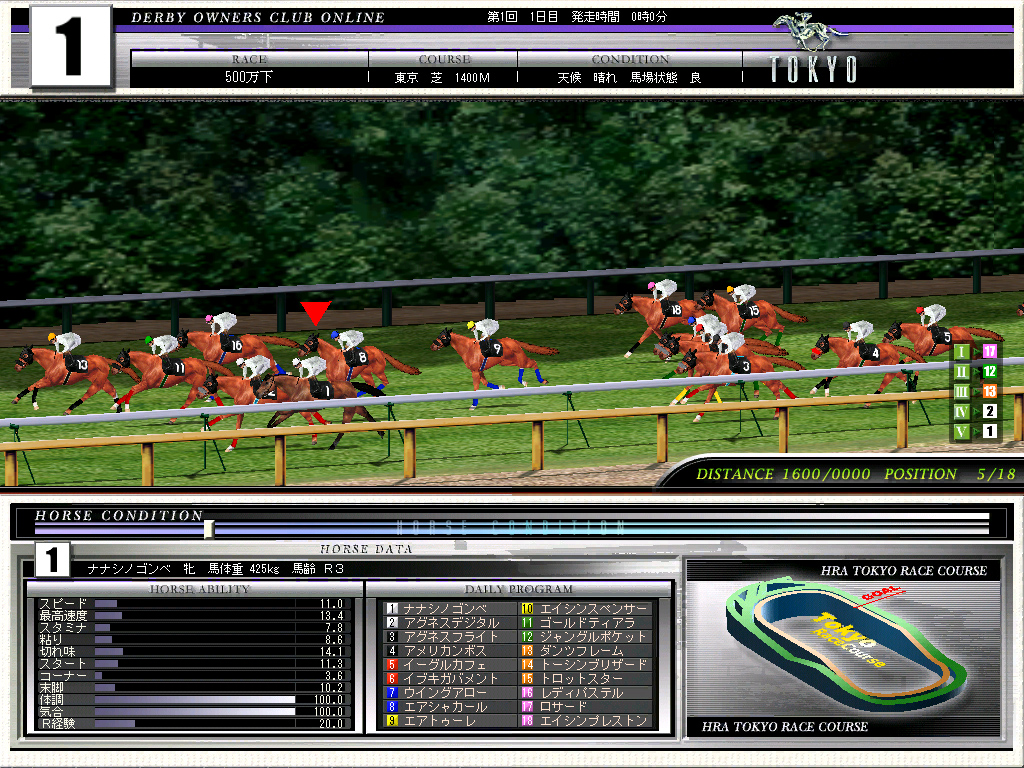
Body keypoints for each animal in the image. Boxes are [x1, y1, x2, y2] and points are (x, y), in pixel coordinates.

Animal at [253, 374, 385, 450]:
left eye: (266, 382)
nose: (257, 393)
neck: (297, 388)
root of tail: (350, 383)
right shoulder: (296, 408)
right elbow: (278, 415)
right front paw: (267, 429)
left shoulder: (297, 409)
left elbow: (284, 414)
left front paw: (314, 440)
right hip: (354, 406)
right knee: (366, 413)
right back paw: (381, 432)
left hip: (349, 408)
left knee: (344, 426)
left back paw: (332, 445)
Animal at [430, 328, 558, 408]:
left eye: (442, 336)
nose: (432, 346)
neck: (468, 348)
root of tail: (514, 340)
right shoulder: (479, 370)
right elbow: (485, 383)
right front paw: (501, 387)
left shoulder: (475, 371)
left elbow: (476, 388)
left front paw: (473, 405)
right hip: (507, 362)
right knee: (524, 366)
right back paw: (524, 381)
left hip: (520, 358)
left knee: (533, 362)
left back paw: (542, 381)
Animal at [673, 348, 804, 422]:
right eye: (684, 356)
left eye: (688, 358)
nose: (678, 369)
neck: (716, 363)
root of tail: (766, 359)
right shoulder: (714, 384)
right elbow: (707, 400)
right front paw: (696, 416)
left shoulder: (716, 382)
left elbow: (700, 388)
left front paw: (683, 400)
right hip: (768, 378)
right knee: (781, 385)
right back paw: (795, 399)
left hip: (768, 381)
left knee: (777, 392)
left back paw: (777, 414)